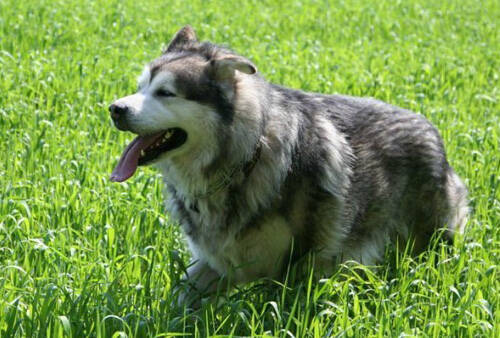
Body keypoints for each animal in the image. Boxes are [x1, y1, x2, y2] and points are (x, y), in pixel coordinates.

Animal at [108, 25, 468, 302]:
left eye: (166, 93)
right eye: (140, 88)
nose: (115, 109)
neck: (242, 161)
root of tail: (431, 129)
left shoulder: (296, 265)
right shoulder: (215, 263)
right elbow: (179, 300)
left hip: (426, 243)